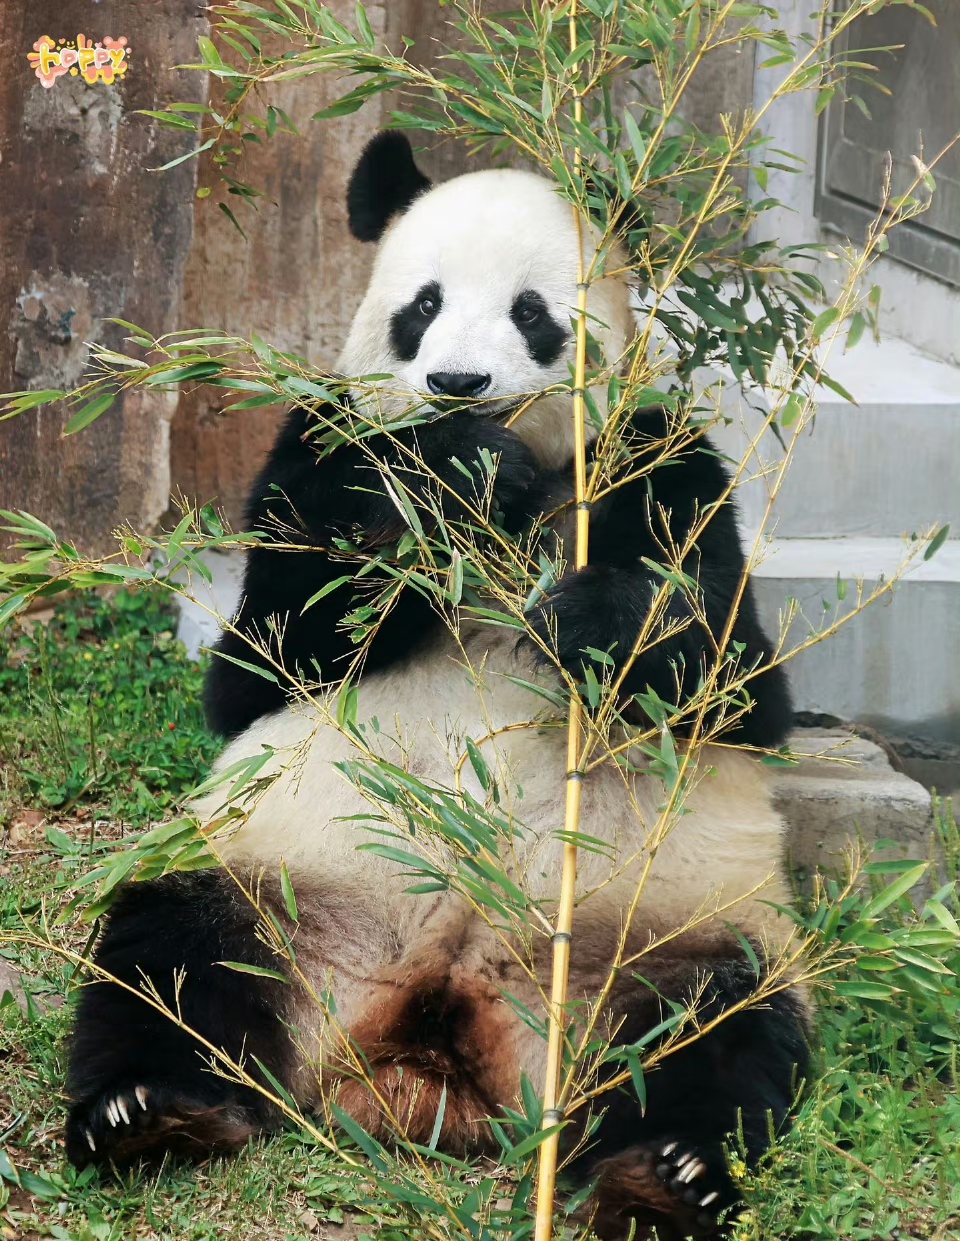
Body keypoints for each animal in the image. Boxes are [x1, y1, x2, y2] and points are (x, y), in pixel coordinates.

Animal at [62, 135, 813, 1241]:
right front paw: (446, 479)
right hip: (268, 874)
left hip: (682, 929)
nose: (459, 383)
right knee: (167, 957)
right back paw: (150, 1111)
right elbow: (260, 663)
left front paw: (590, 619)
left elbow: (739, 686)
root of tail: (433, 1031)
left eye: (532, 312)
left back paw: (662, 1172)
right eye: (422, 303)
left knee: (717, 1035)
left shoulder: (661, 463)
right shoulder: (320, 446)